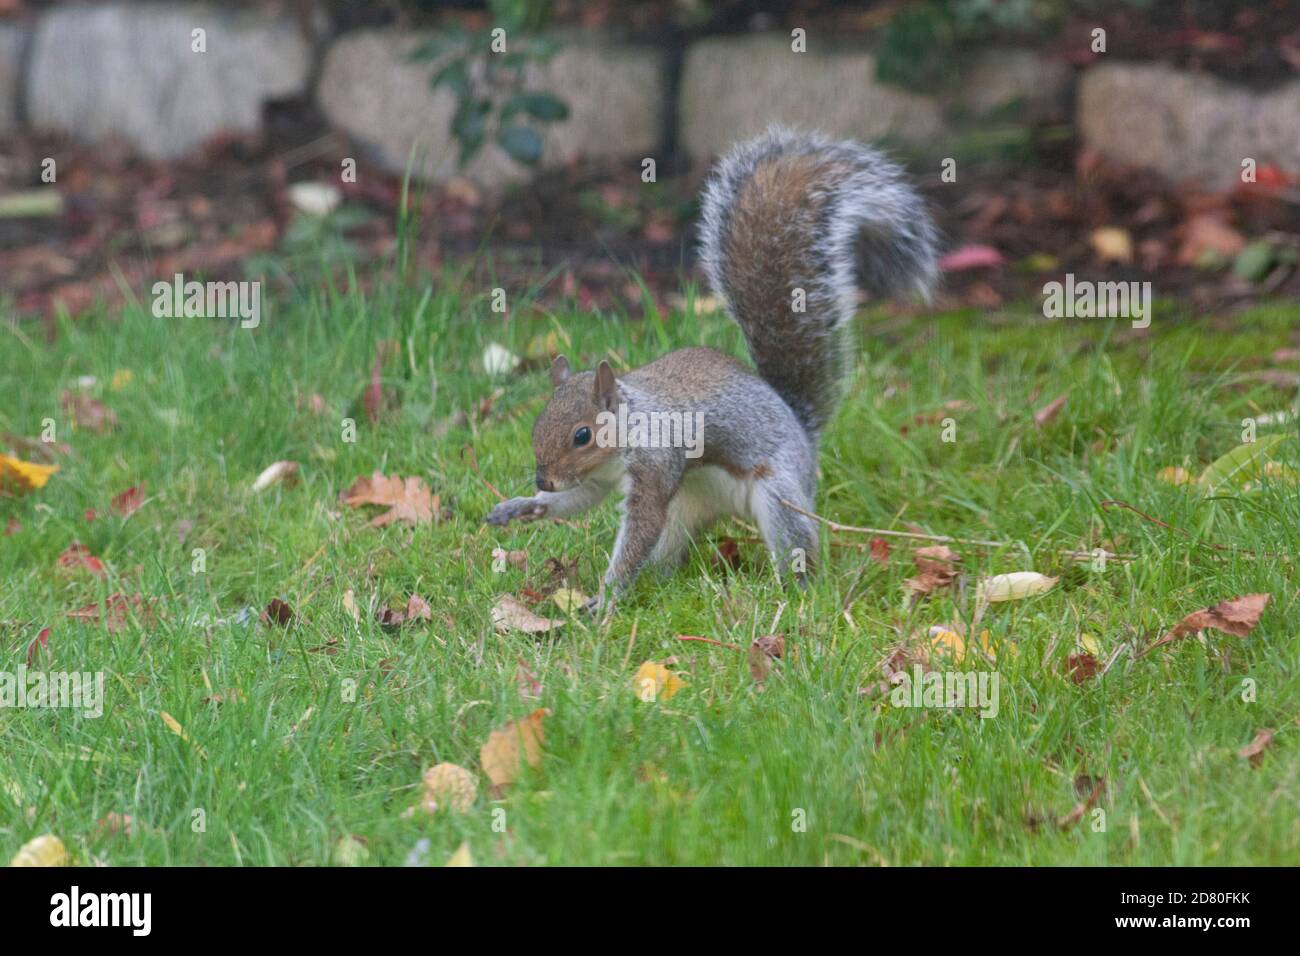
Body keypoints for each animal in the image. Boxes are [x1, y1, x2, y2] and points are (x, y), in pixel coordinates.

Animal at [486, 127, 935, 608]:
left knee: (793, 539)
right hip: (684, 508)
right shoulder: (596, 478)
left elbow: (639, 527)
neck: (631, 425)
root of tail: (801, 430)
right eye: (537, 423)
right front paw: (524, 505)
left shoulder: (657, 464)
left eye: (582, 435)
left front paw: (605, 600)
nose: (544, 480)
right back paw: (660, 582)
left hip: (779, 492)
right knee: (667, 547)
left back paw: (794, 590)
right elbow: (581, 499)